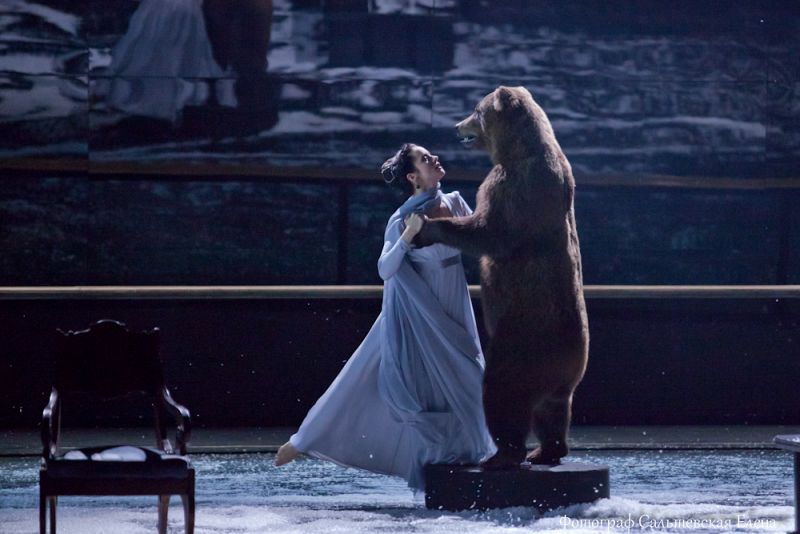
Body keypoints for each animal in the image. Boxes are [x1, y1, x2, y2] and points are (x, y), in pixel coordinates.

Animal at [416, 84, 592, 468]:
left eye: (476, 109)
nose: (455, 126)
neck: (517, 150)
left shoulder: (513, 187)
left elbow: (489, 232)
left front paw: (430, 226)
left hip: (520, 348)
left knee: (502, 397)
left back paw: (501, 455)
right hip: (563, 373)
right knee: (554, 411)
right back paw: (547, 449)